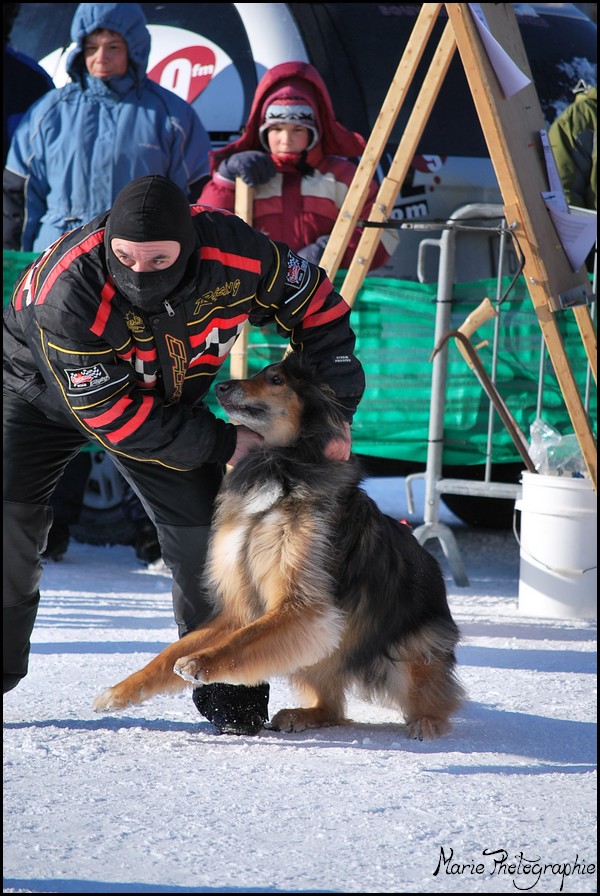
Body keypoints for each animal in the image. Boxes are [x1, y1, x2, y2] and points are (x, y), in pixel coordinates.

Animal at [92, 354, 464, 740]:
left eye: (275, 379)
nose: (221, 386)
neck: (278, 463)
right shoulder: (244, 607)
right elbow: (172, 652)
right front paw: (119, 692)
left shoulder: (302, 606)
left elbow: (242, 640)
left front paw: (199, 662)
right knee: (333, 707)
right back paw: (304, 714)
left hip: (410, 647)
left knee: (432, 696)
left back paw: (426, 722)